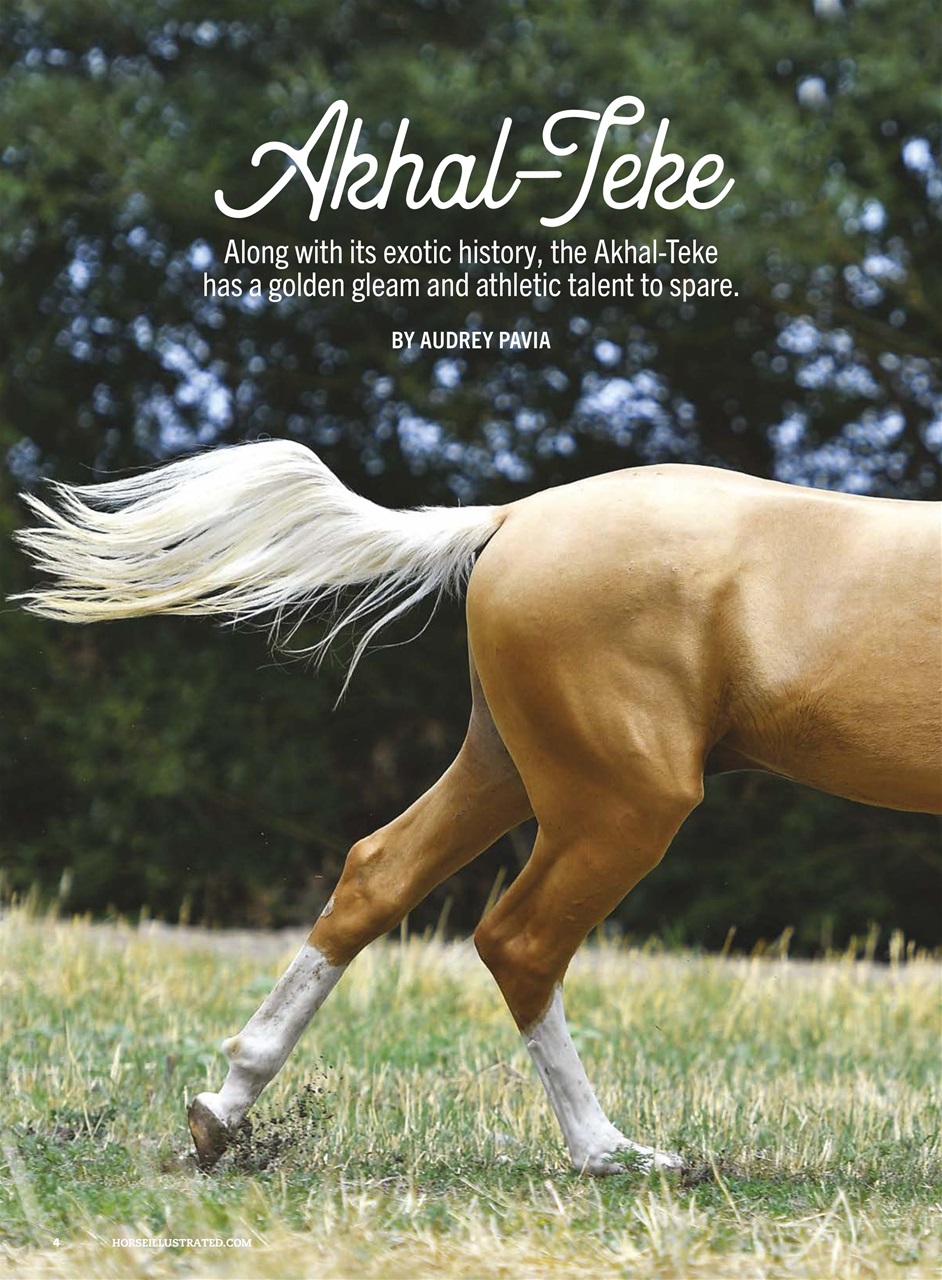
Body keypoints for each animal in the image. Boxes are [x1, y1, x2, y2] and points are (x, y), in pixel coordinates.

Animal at [15, 439, 942, 1175]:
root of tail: (510, 518)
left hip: (506, 771)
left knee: (376, 877)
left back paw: (222, 1109)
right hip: (624, 803)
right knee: (520, 941)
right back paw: (612, 1153)